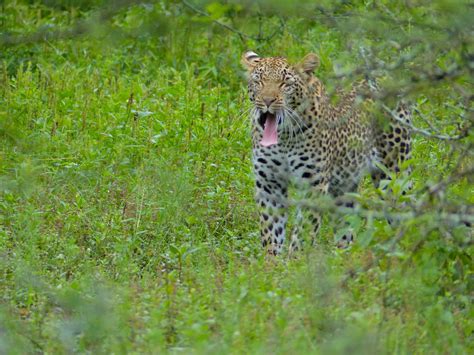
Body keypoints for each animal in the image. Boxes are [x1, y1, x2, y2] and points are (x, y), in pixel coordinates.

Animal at [241, 50, 412, 256]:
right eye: (259, 81)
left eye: (285, 83)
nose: (267, 101)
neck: (283, 138)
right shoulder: (269, 183)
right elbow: (271, 229)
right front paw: (271, 260)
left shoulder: (313, 183)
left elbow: (304, 229)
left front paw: (296, 260)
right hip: (345, 185)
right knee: (347, 227)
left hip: (393, 173)